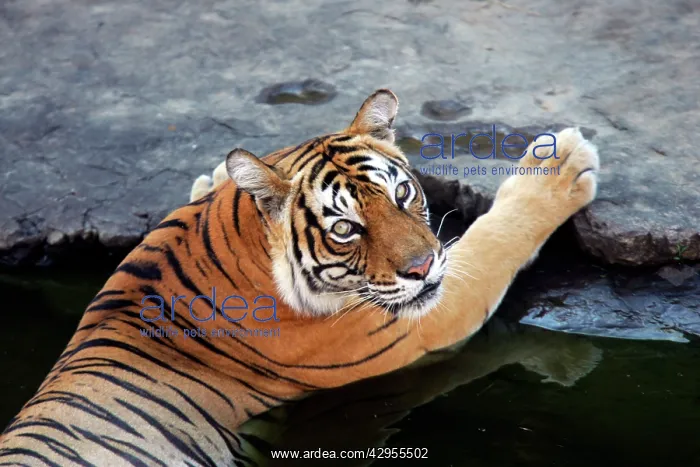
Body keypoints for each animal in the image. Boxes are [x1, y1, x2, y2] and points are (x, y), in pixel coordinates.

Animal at [0, 89, 599, 466]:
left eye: (403, 193)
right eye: (344, 228)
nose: (423, 267)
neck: (228, 234)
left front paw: (212, 176)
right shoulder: (415, 320)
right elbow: (492, 241)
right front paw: (560, 165)